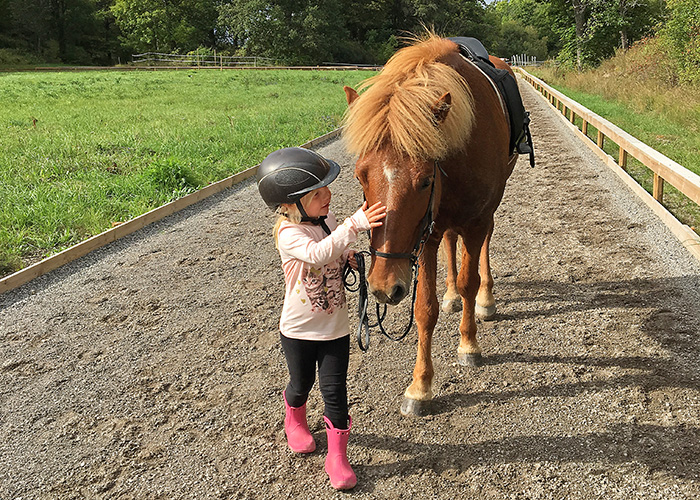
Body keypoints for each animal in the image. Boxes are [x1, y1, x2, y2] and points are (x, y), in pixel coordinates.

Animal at [342, 35, 516, 416]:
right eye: (360, 176)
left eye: (424, 181)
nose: (383, 287)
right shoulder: (426, 234)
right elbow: (424, 308)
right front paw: (420, 386)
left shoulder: (475, 219)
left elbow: (469, 281)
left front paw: (469, 344)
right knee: (451, 241)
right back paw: (450, 294)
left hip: (486, 210)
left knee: (483, 246)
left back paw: (485, 299)